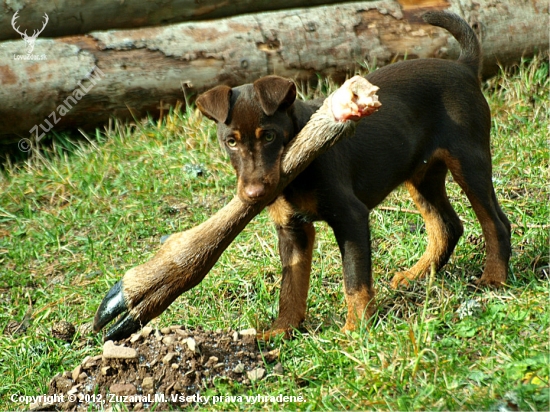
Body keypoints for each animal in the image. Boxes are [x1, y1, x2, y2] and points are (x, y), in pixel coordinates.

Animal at [195, 12, 512, 334]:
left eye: (269, 136)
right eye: (231, 142)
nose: (254, 194)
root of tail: (463, 67)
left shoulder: (350, 216)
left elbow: (354, 279)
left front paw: (355, 329)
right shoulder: (292, 229)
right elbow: (291, 286)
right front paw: (281, 330)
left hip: (469, 160)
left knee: (496, 222)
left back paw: (493, 278)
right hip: (421, 173)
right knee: (447, 226)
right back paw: (416, 275)